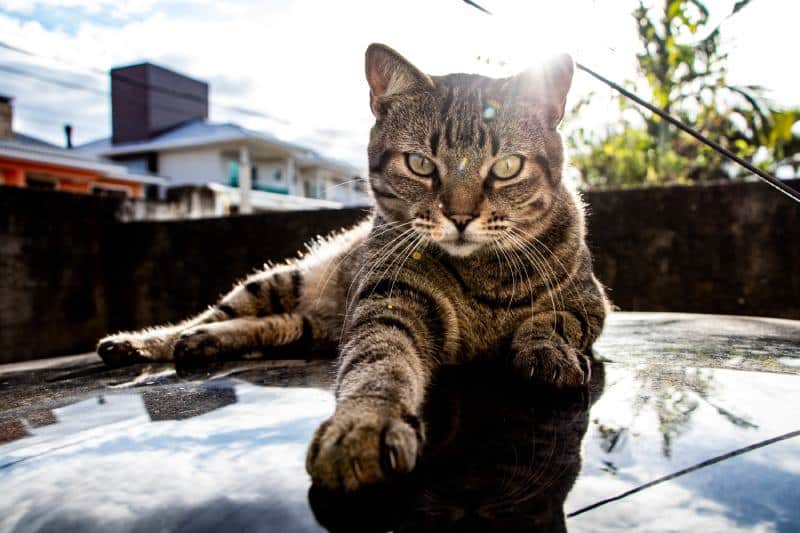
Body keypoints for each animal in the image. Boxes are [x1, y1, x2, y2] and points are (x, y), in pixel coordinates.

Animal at [95, 44, 608, 490]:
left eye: (506, 168)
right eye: (420, 164)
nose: (460, 217)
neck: (482, 276)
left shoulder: (590, 304)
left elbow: (550, 320)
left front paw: (547, 352)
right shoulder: (388, 300)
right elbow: (379, 361)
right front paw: (364, 425)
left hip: (310, 326)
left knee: (270, 326)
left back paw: (201, 343)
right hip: (277, 281)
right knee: (207, 315)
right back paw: (142, 342)